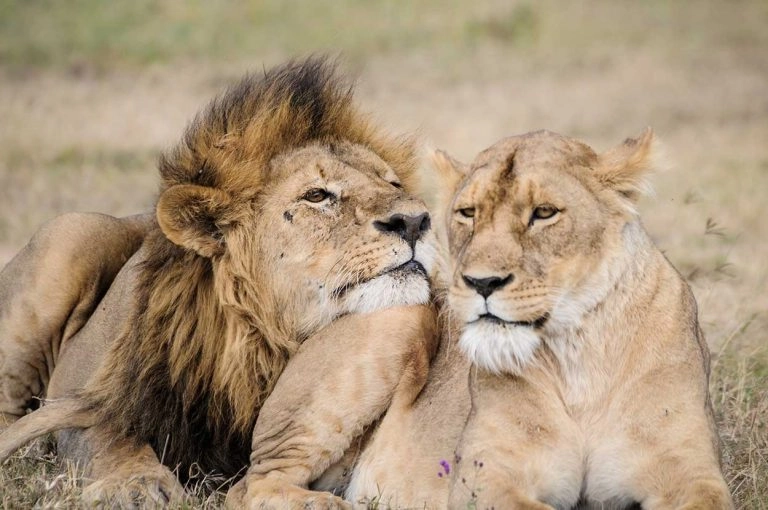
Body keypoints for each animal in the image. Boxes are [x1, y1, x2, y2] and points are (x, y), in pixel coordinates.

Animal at [0, 58, 438, 506]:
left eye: (392, 183)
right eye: (316, 195)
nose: (416, 221)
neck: (261, 345)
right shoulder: (95, 394)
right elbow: (109, 436)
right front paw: (138, 484)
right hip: (71, 235)